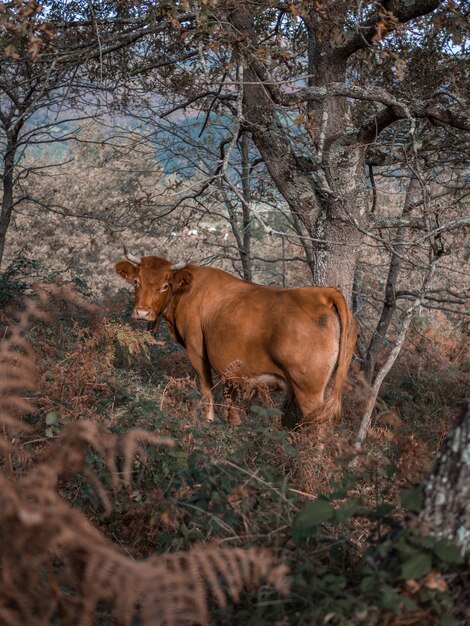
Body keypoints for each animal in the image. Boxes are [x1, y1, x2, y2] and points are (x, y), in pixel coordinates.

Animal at [115, 252, 358, 424]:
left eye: (165, 285)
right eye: (136, 282)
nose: (142, 312)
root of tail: (322, 294)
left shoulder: (196, 351)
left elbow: (207, 390)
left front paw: (209, 421)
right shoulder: (232, 370)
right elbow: (231, 401)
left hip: (309, 390)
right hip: (329, 384)